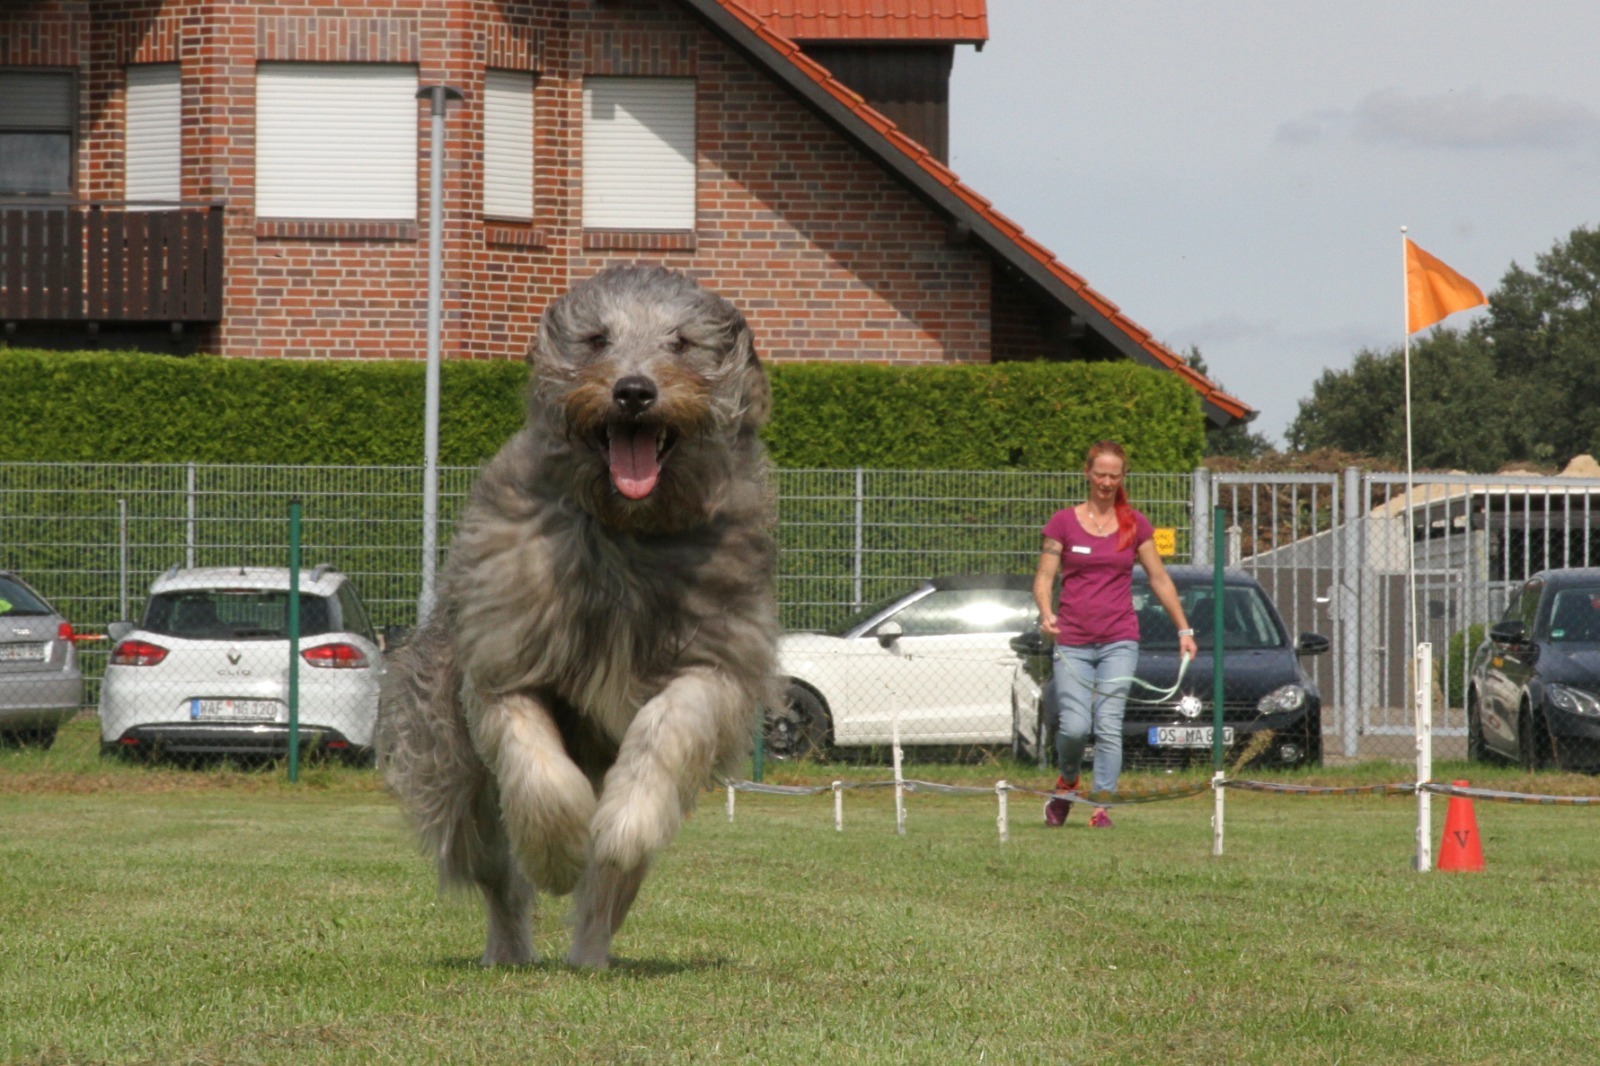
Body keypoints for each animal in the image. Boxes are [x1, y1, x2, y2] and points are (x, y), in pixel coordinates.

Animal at [378, 264, 779, 969]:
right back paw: (509, 948)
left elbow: (666, 731)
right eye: (596, 340)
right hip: (453, 770)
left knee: (613, 882)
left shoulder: (717, 658)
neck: (628, 530)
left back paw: (591, 951)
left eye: (681, 342)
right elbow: (537, 765)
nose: (634, 391)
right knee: (497, 873)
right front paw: (559, 852)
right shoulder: (506, 655)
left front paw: (618, 824)